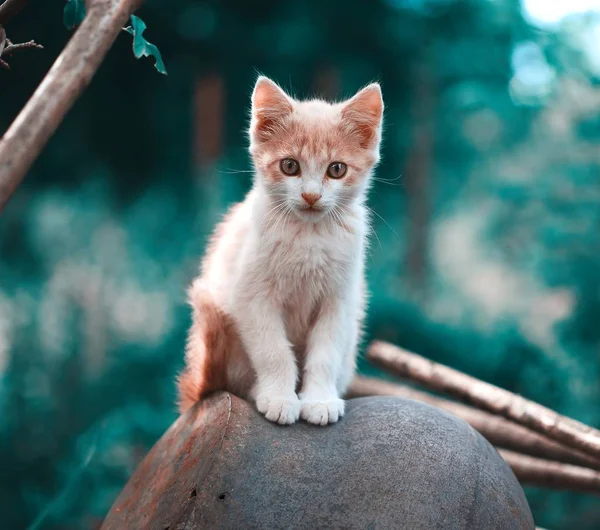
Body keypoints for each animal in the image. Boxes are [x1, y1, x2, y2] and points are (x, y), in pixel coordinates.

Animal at [178, 75, 384, 424]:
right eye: (290, 166)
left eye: (337, 170)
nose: (311, 196)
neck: (309, 235)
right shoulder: (250, 296)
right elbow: (273, 351)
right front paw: (279, 397)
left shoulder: (340, 300)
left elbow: (325, 353)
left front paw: (320, 400)